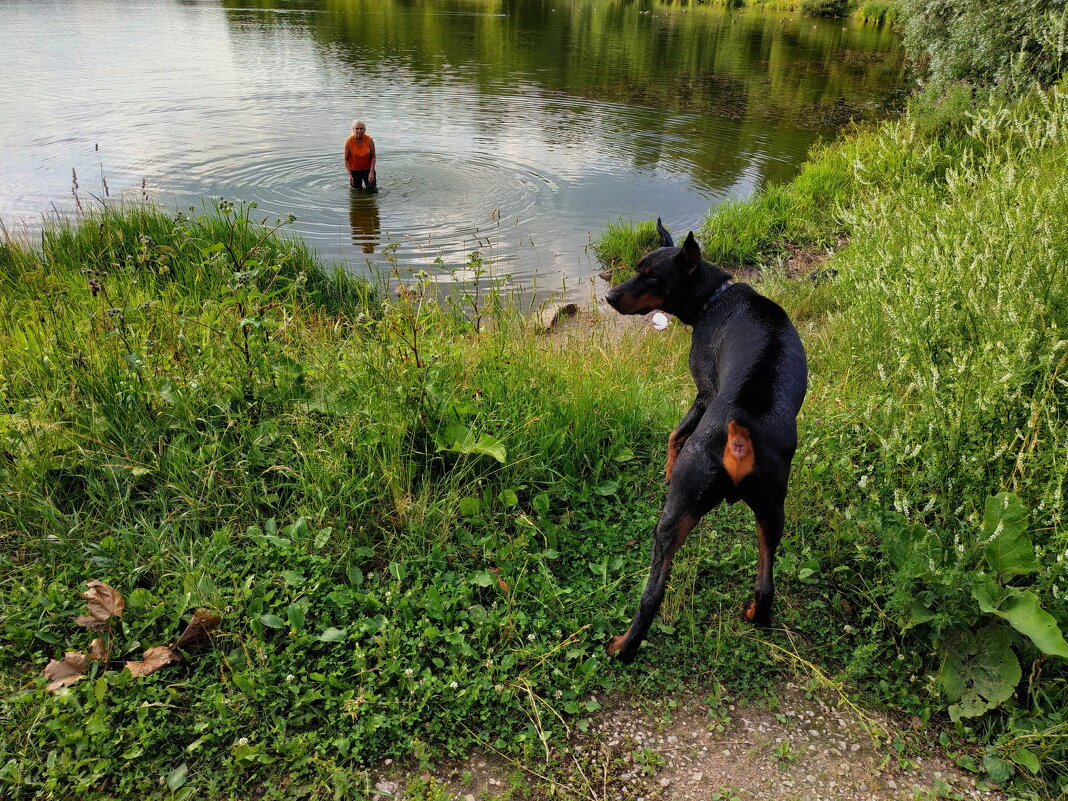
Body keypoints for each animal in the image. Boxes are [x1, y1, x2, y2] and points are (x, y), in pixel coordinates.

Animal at [606, 220, 803, 666]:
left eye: (652, 276)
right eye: (637, 267)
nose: (608, 296)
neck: (715, 297)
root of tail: (739, 441)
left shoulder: (703, 391)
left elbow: (675, 432)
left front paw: (666, 467)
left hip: (674, 514)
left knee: (653, 594)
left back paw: (623, 646)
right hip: (772, 510)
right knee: (766, 585)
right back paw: (755, 616)